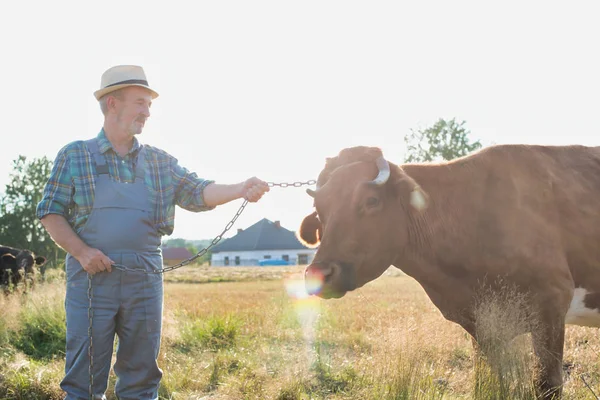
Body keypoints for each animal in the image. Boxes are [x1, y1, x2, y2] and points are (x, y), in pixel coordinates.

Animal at [300, 145, 600, 398]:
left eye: (371, 200)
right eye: (320, 208)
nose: (318, 273)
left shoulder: (551, 305)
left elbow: (547, 386)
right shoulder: (484, 327)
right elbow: (487, 383)